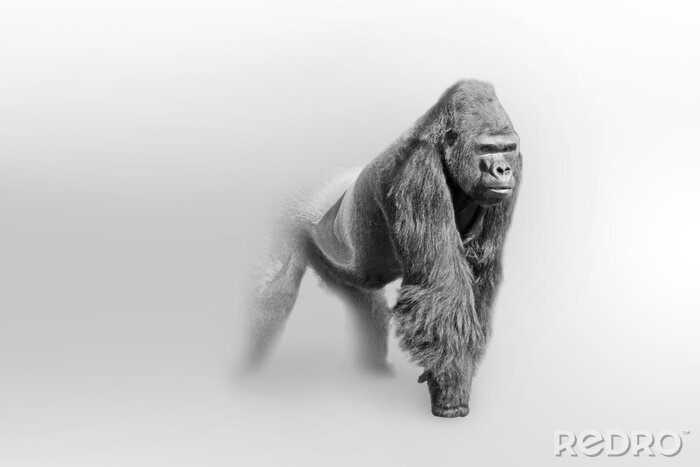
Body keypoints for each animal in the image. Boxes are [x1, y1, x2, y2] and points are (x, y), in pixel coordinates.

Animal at [246, 79, 521, 418]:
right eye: (486, 148)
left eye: (507, 149)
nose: (502, 170)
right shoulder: (418, 170)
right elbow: (442, 288)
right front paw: (451, 394)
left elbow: (480, 276)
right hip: (285, 216)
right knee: (271, 295)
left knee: (367, 307)